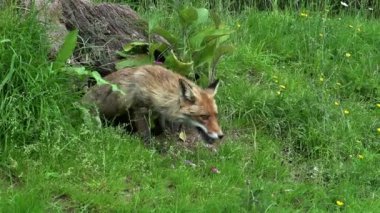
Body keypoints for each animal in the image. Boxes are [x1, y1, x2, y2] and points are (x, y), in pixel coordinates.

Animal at [83, 65, 223, 144]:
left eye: (216, 115)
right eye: (204, 117)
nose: (221, 135)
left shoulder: (160, 112)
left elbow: (162, 126)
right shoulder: (139, 108)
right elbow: (145, 135)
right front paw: (151, 148)